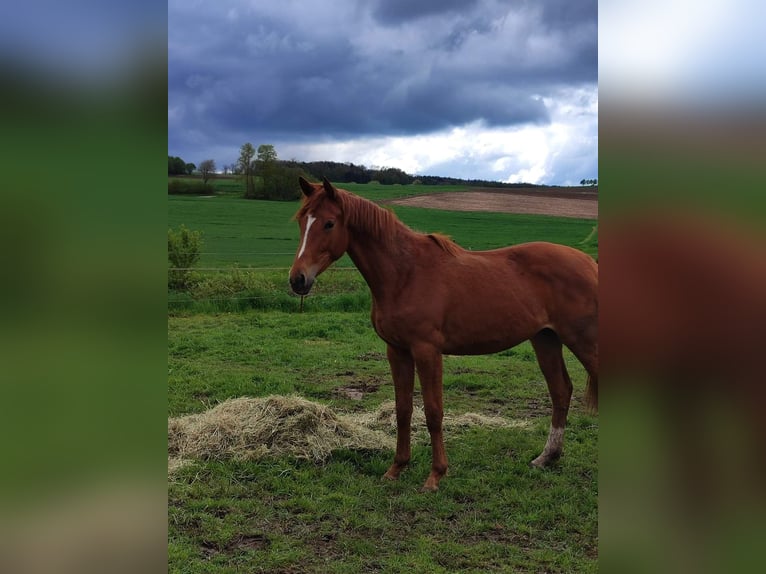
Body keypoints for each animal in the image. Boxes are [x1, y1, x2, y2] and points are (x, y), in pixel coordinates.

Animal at [292, 178, 596, 492]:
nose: (298, 279)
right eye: (301, 220)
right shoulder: (397, 351)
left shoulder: (427, 351)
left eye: (329, 223)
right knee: (561, 391)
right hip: (545, 340)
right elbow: (403, 410)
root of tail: (589, 263)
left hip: (586, 341)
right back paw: (547, 457)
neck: (405, 273)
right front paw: (397, 468)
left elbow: (433, 411)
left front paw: (435, 474)